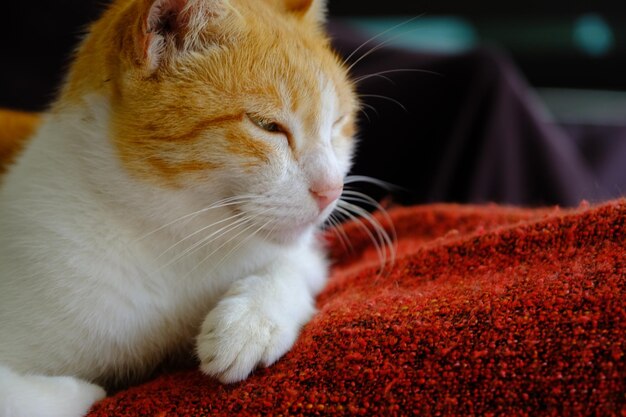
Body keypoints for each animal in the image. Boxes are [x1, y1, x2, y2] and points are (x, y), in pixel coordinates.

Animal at [0, 0, 356, 416]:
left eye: (338, 123)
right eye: (267, 125)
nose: (332, 189)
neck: (178, 242)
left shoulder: (301, 251)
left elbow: (293, 266)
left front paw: (249, 324)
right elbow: (19, 394)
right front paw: (79, 392)